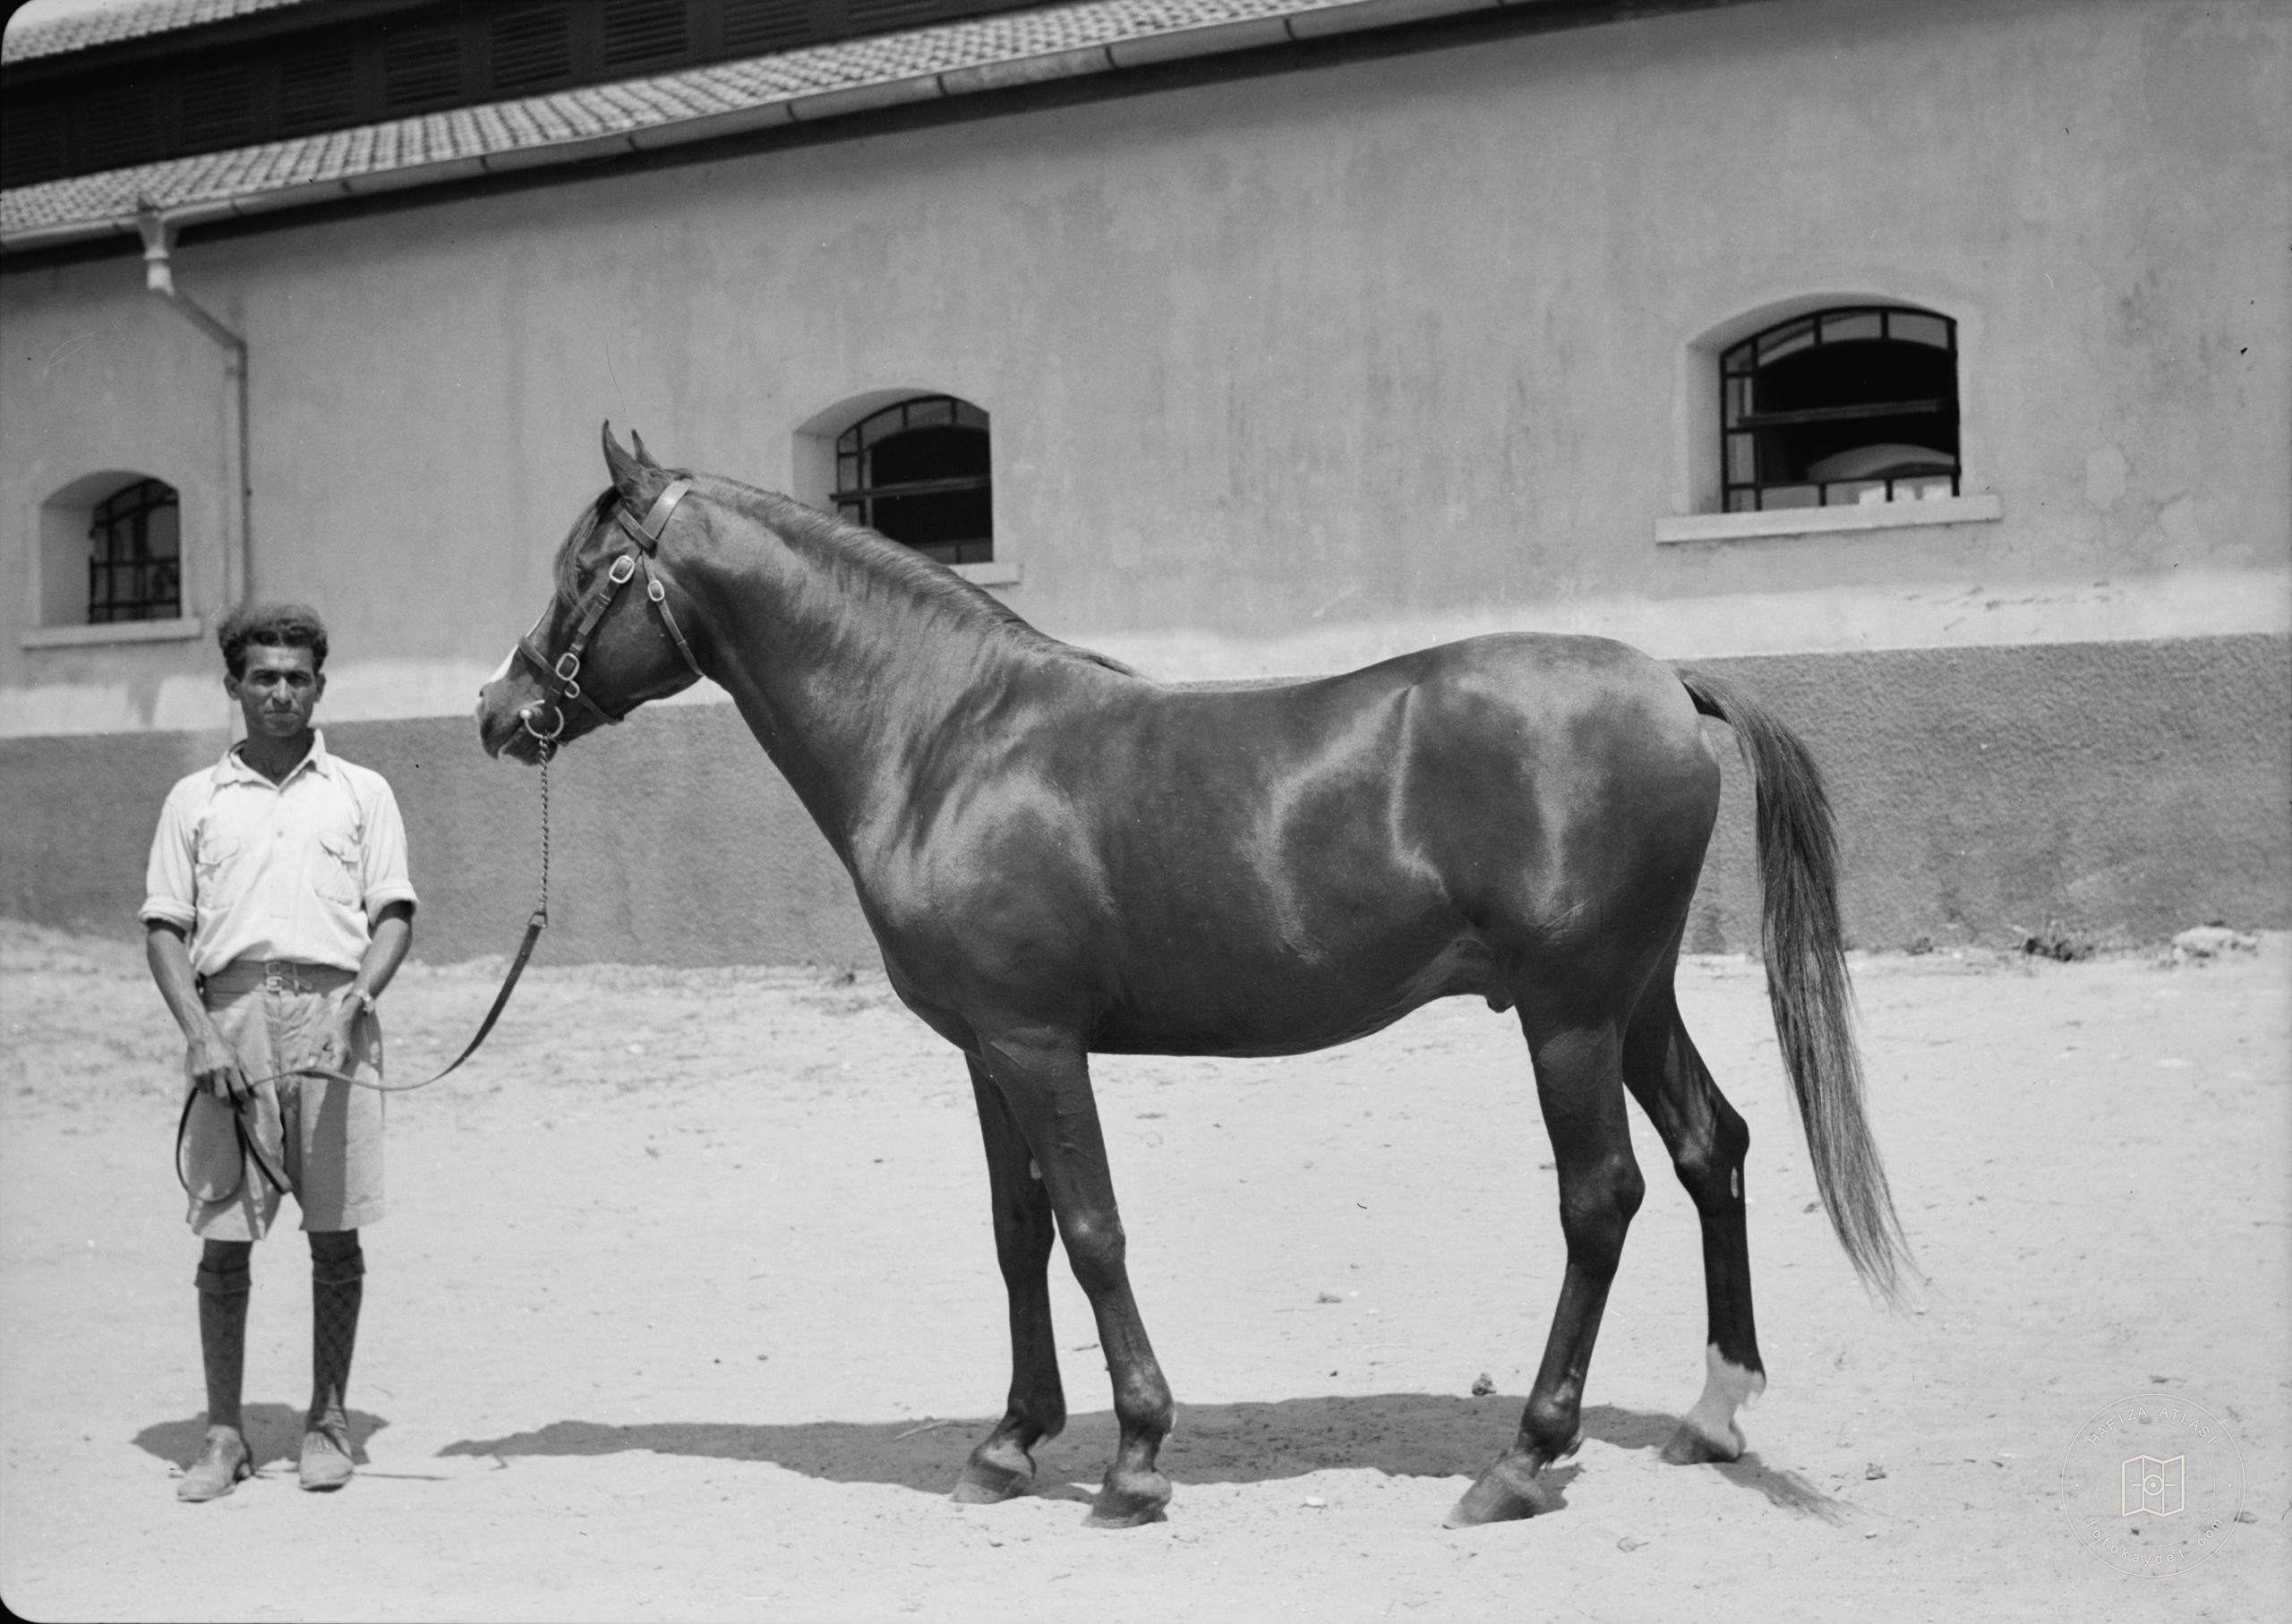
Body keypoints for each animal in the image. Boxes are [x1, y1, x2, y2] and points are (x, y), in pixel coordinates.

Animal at [475, 426, 1910, 1529]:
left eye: (589, 572)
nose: (499, 712)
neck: (949, 741)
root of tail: (1664, 678)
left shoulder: (1039, 1043)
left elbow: (1093, 1230)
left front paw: (1133, 1457)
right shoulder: (985, 1050)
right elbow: (1017, 1233)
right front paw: (1008, 1442)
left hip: (1567, 1015)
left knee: (1602, 1197)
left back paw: (1520, 1458)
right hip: (1631, 1001)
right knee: (1712, 1147)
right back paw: (1713, 1412)